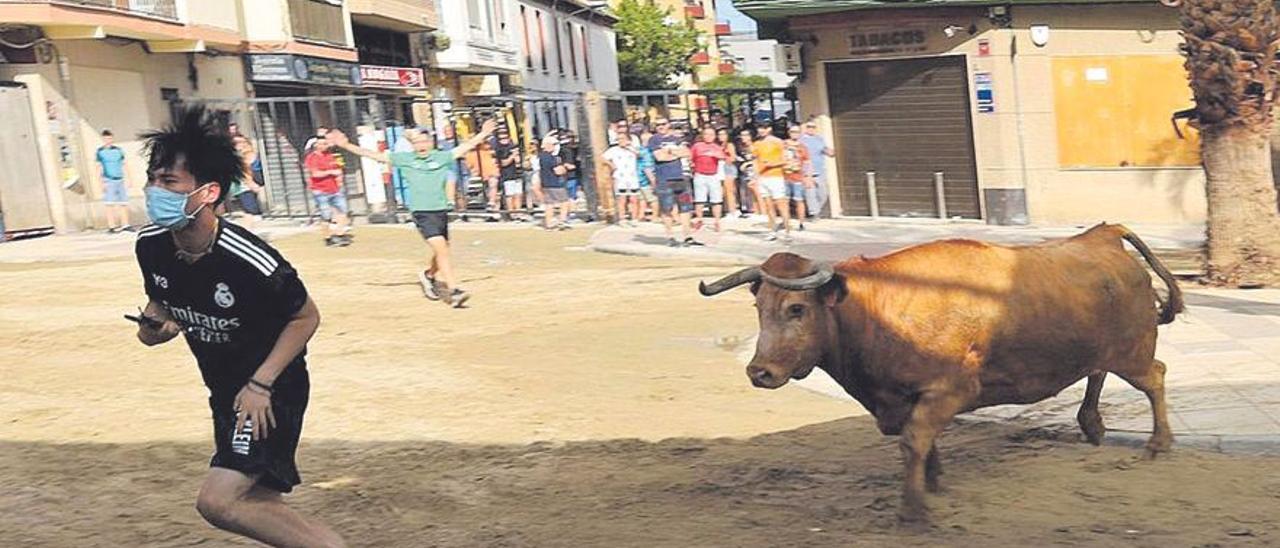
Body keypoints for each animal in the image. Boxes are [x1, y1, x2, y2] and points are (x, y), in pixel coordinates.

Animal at [706, 224, 1182, 522]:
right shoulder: (905, 399)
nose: (760, 372)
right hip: (1099, 349)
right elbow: (920, 440)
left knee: (1155, 377)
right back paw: (1092, 425)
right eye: (758, 306)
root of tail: (1103, 236)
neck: (877, 311)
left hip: (1133, 351)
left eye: (796, 308)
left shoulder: (950, 390)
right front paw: (932, 482)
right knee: (1098, 373)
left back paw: (1157, 444)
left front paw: (913, 507)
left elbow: (914, 439)